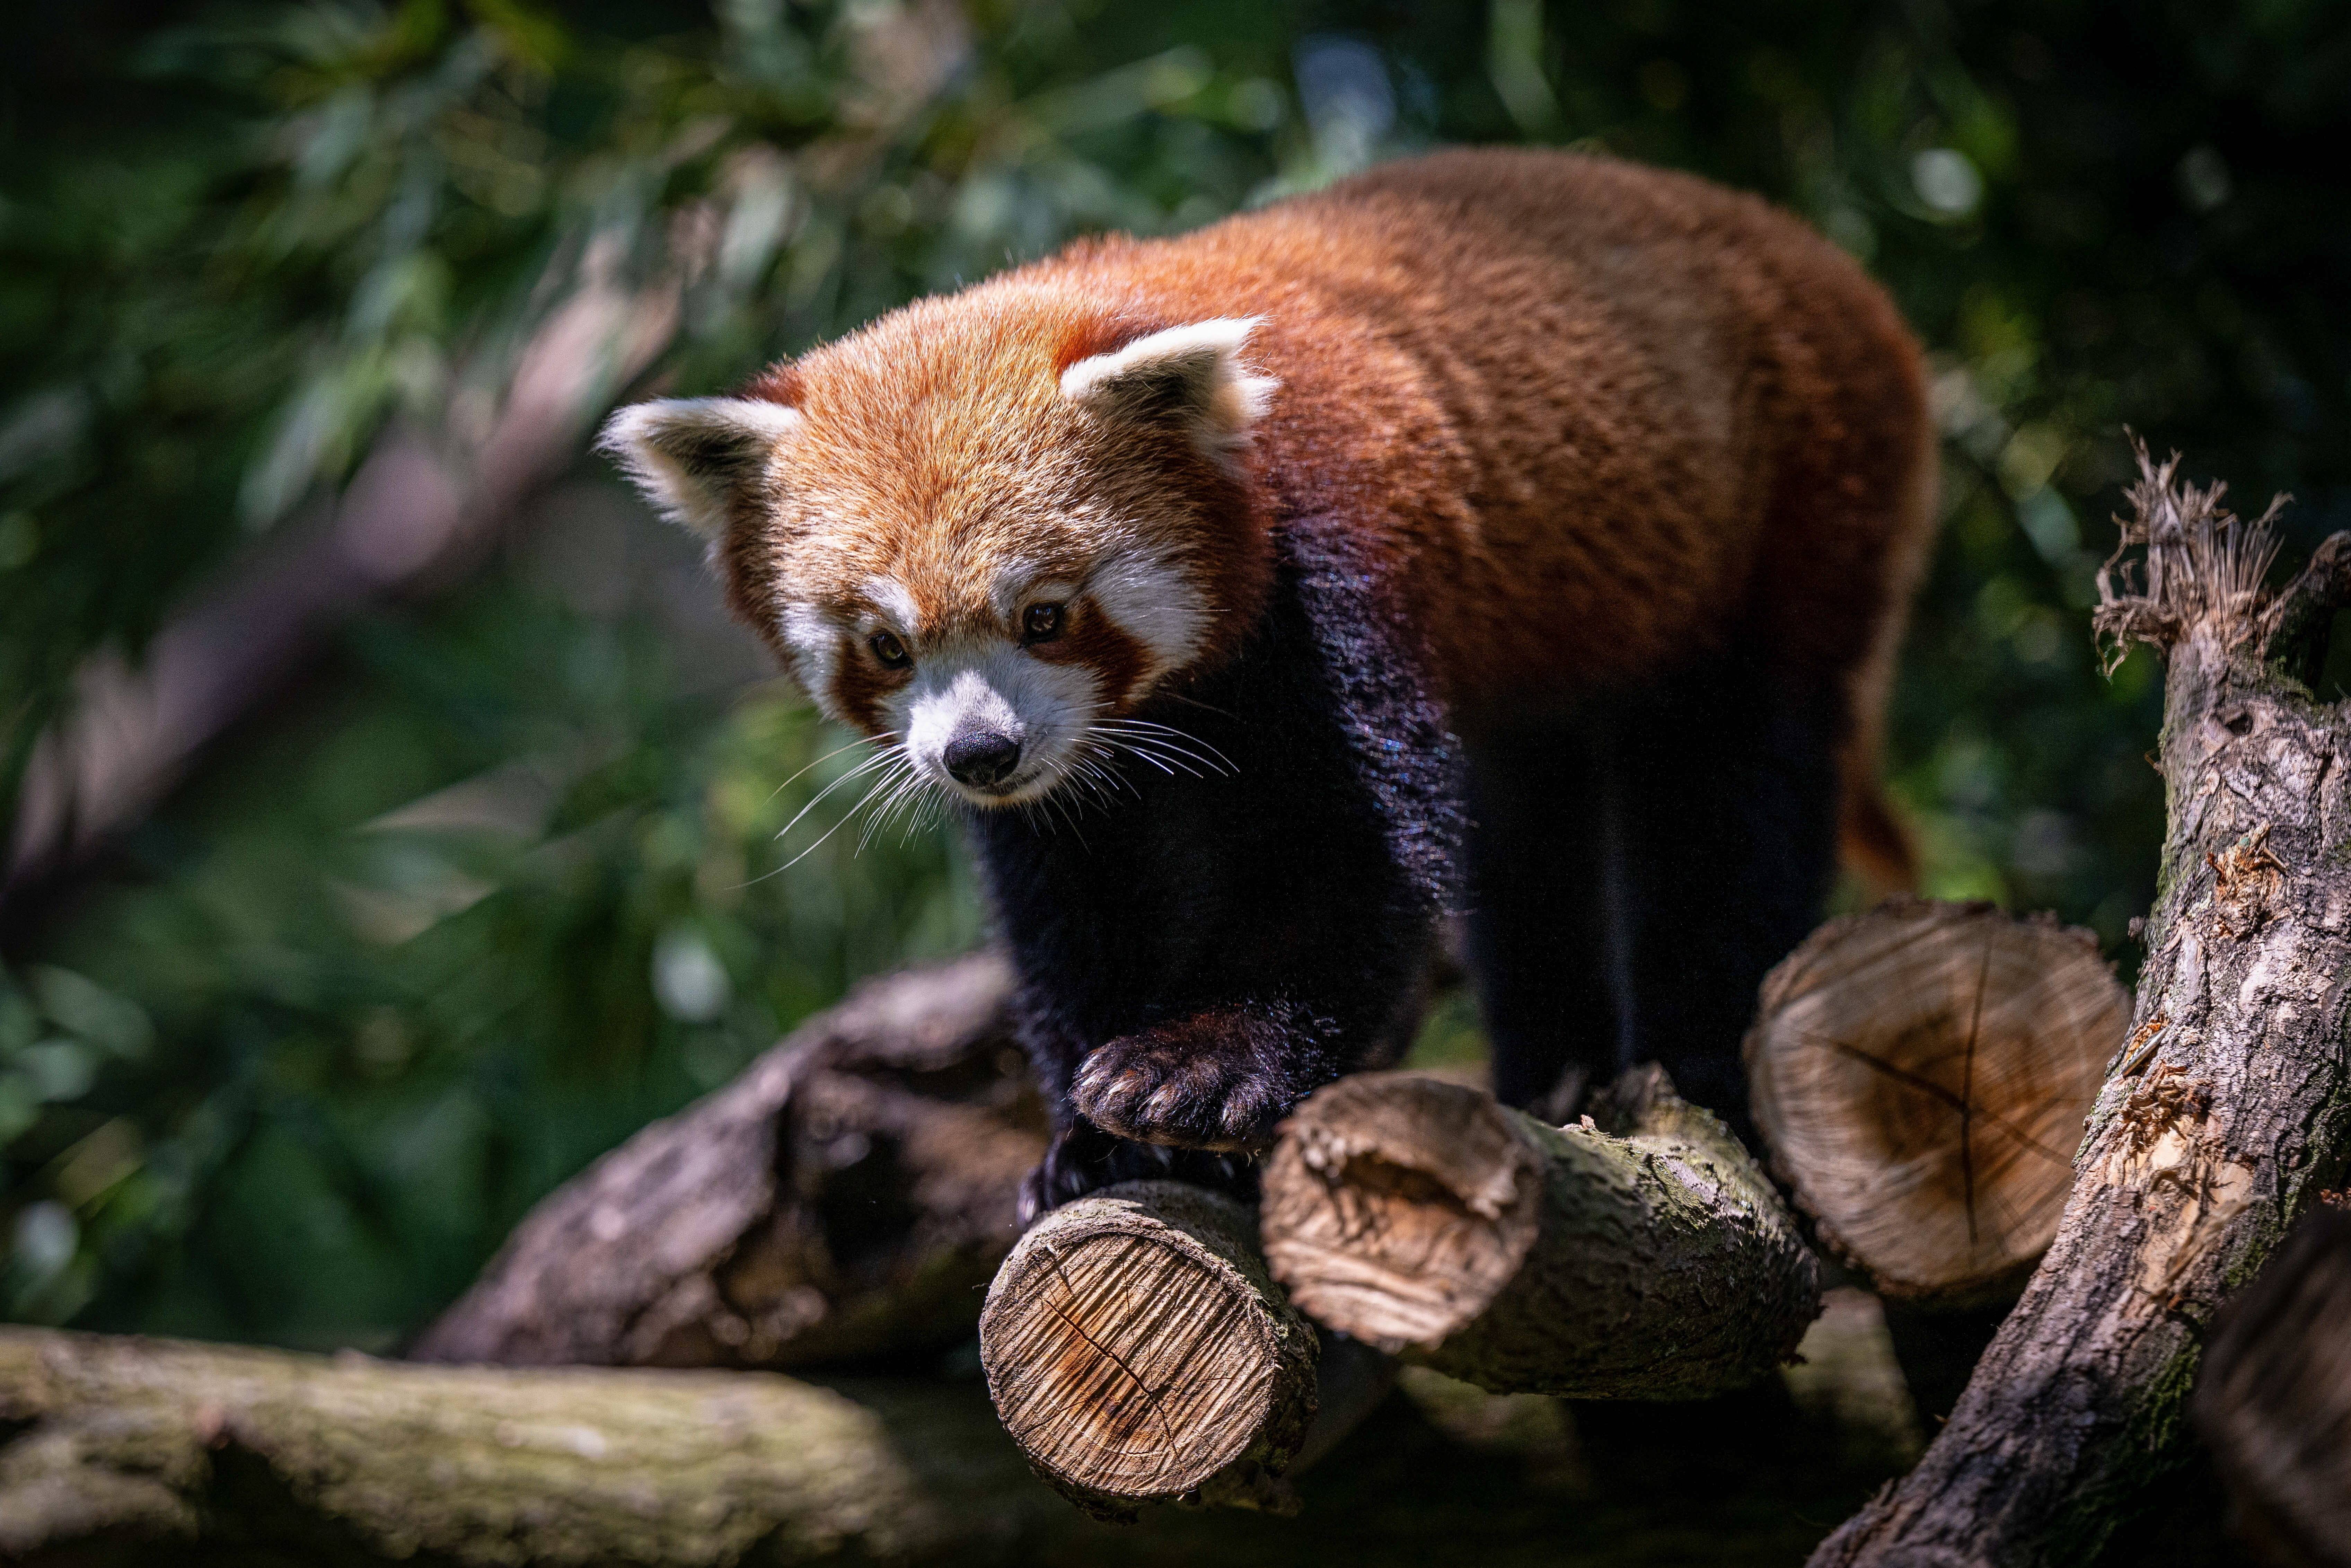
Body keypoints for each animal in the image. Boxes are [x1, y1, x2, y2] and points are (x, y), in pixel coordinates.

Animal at [602, 147, 1928, 1213]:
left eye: (1044, 614)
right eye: (887, 644)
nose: (980, 754)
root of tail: (1817, 254)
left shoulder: (1333, 587)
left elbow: (1343, 857)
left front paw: (1198, 1073)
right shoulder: (1078, 779)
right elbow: (1074, 908)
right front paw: (1088, 1142)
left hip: (1793, 508)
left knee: (1728, 797)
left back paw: (1692, 1059)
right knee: (1529, 835)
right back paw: (1556, 1073)